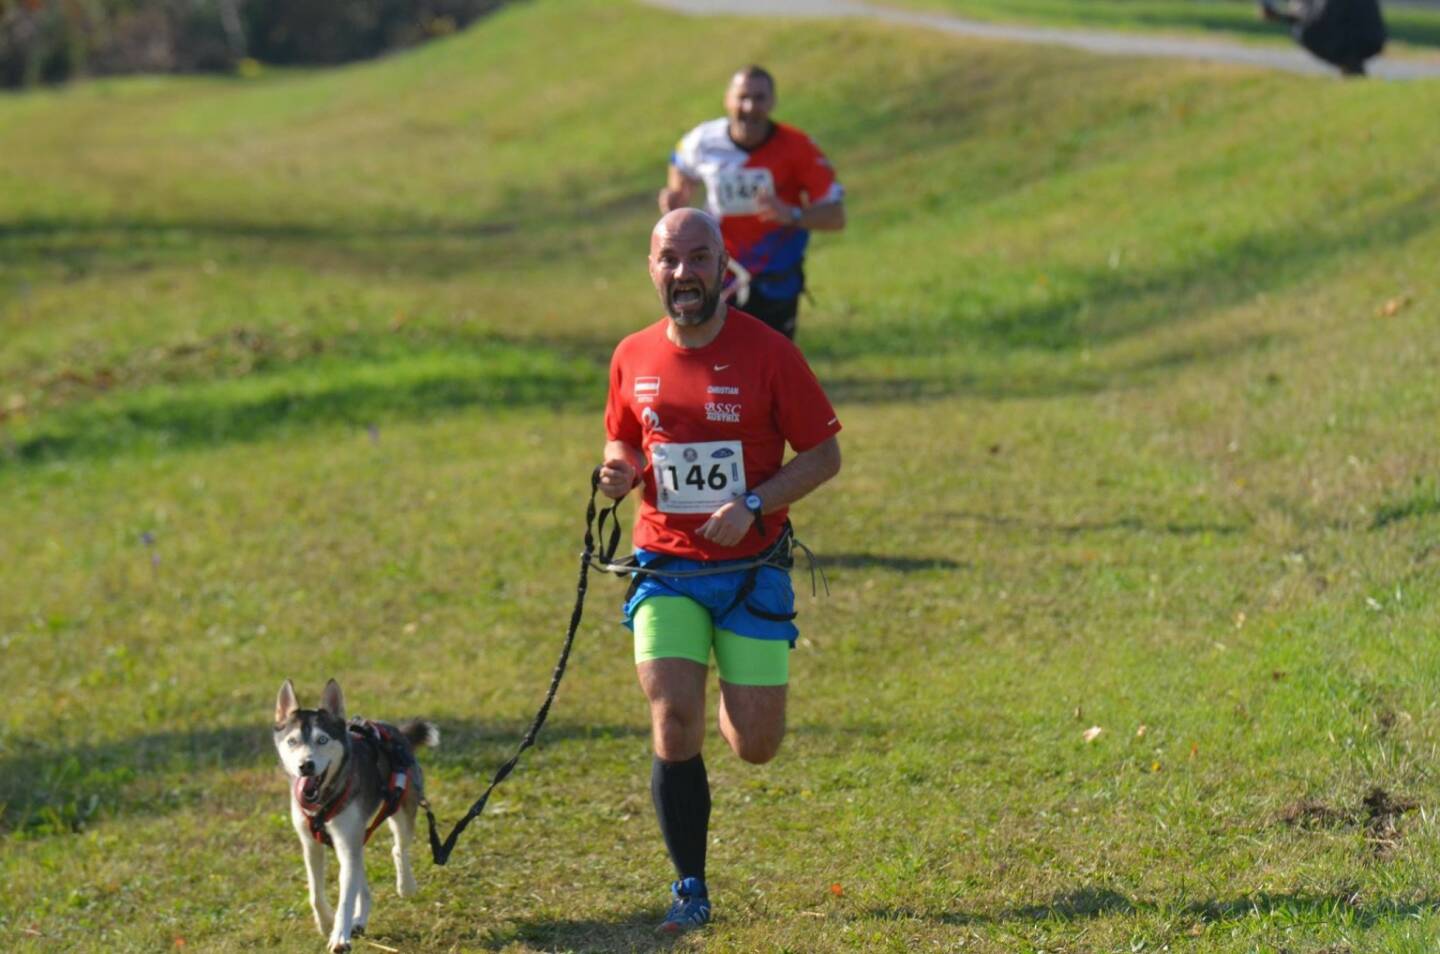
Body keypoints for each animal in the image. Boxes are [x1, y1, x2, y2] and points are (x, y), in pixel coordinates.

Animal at [272, 680, 434, 954]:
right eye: (292, 741)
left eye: (322, 739)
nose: (306, 765)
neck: (323, 801)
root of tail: (393, 730)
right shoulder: (311, 844)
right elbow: (315, 892)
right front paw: (326, 923)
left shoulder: (347, 842)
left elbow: (345, 898)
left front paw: (339, 936)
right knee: (361, 876)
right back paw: (359, 920)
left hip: (400, 808)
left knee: (398, 848)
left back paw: (406, 886)